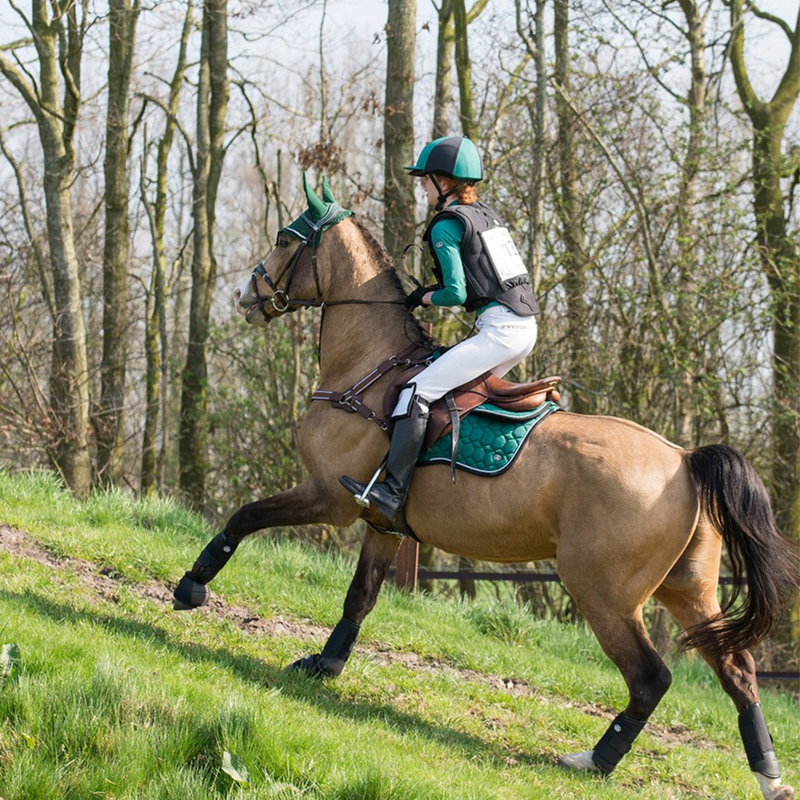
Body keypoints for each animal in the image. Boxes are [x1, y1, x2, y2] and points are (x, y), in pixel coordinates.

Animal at [172, 180, 796, 800]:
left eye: (284, 239)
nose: (243, 296)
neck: (369, 366)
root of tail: (684, 461)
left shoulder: (330, 496)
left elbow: (245, 516)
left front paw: (192, 586)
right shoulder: (381, 522)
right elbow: (359, 597)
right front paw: (326, 665)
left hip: (603, 592)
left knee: (651, 677)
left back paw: (595, 760)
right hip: (689, 591)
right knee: (738, 673)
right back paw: (768, 774)